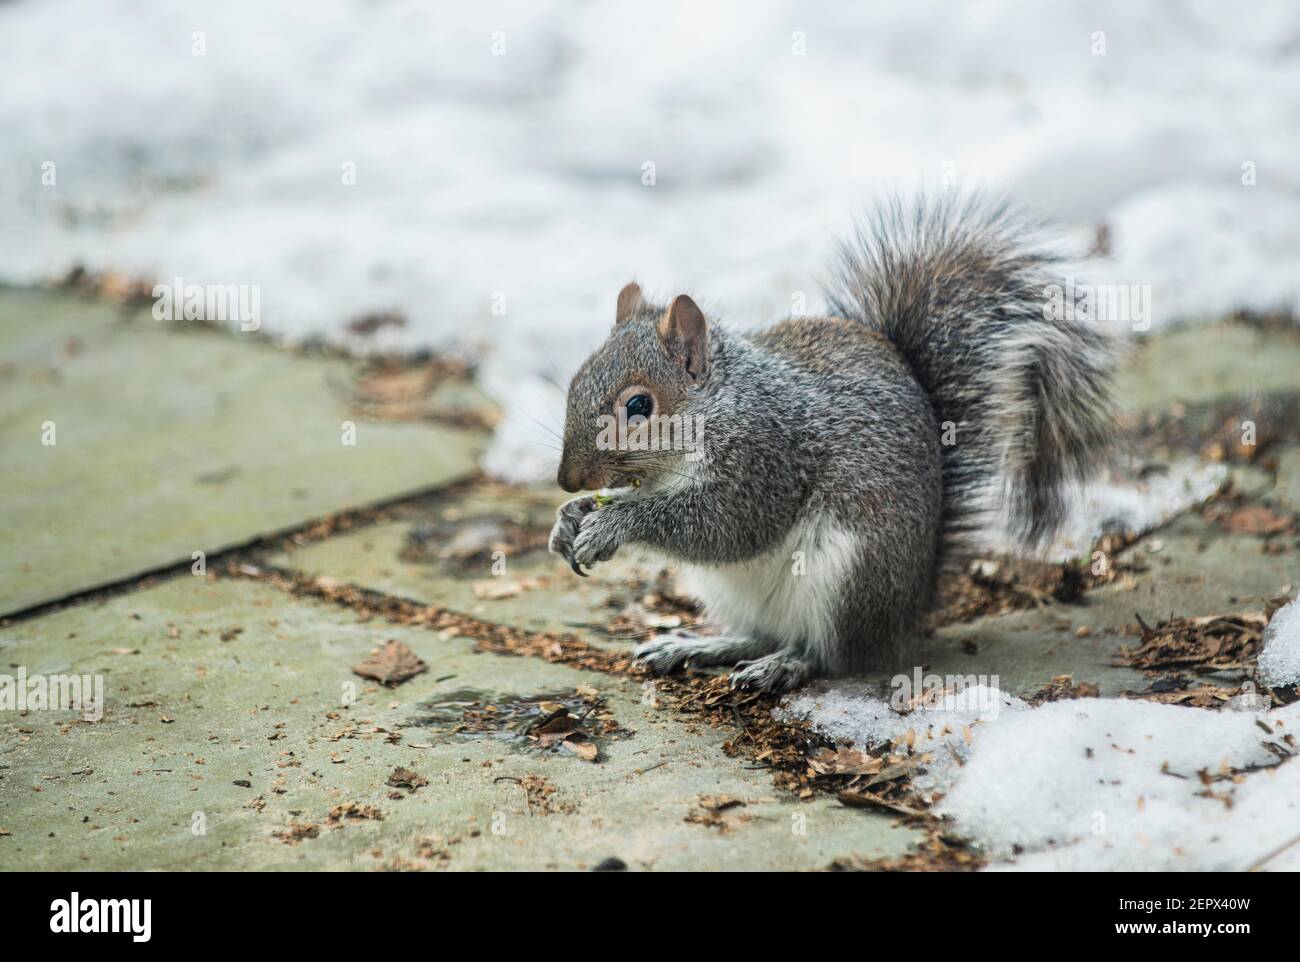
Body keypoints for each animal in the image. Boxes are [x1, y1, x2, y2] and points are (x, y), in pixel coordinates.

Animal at [543, 195, 1112, 691]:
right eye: (575, 380)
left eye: (640, 406)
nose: (567, 479)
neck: (716, 407)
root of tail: (911, 605)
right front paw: (570, 518)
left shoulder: (764, 458)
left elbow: (723, 526)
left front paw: (613, 525)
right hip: (729, 591)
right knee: (759, 633)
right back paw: (700, 646)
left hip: (848, 576)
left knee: (834, 655)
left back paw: (786, 665)